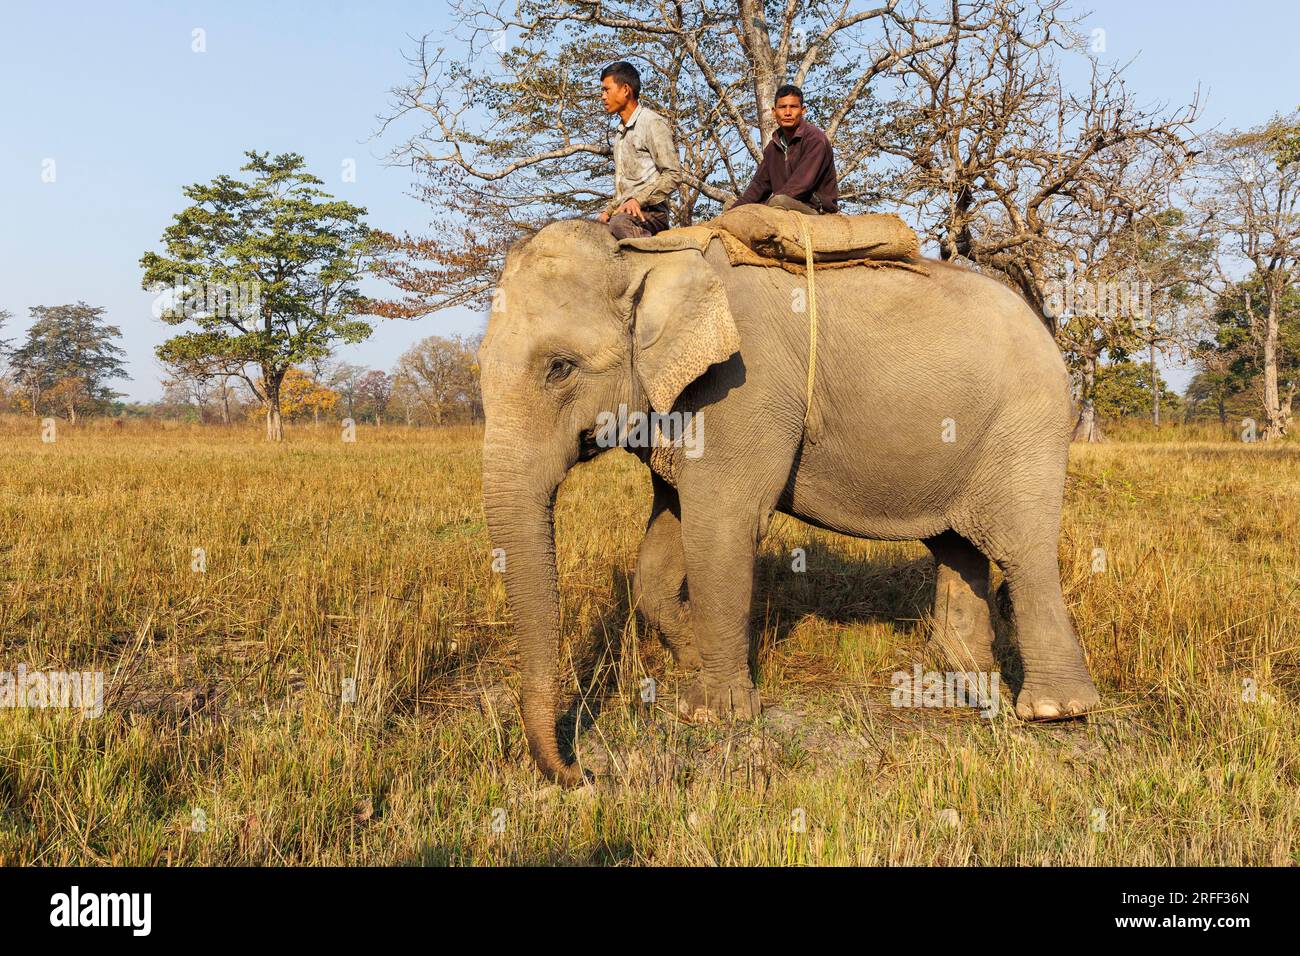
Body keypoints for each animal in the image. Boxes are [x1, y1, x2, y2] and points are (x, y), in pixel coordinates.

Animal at [478, 218, 1097, 785]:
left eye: (560, 368)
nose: (581, 773)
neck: (646, 254)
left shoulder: (739, 389)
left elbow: (720, 527)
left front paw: (710, 713)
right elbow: (667, 538)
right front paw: (693, 665)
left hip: (1026, 426)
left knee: (1021, 550)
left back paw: (1054, 711)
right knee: (956, 546)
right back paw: (956, 682)